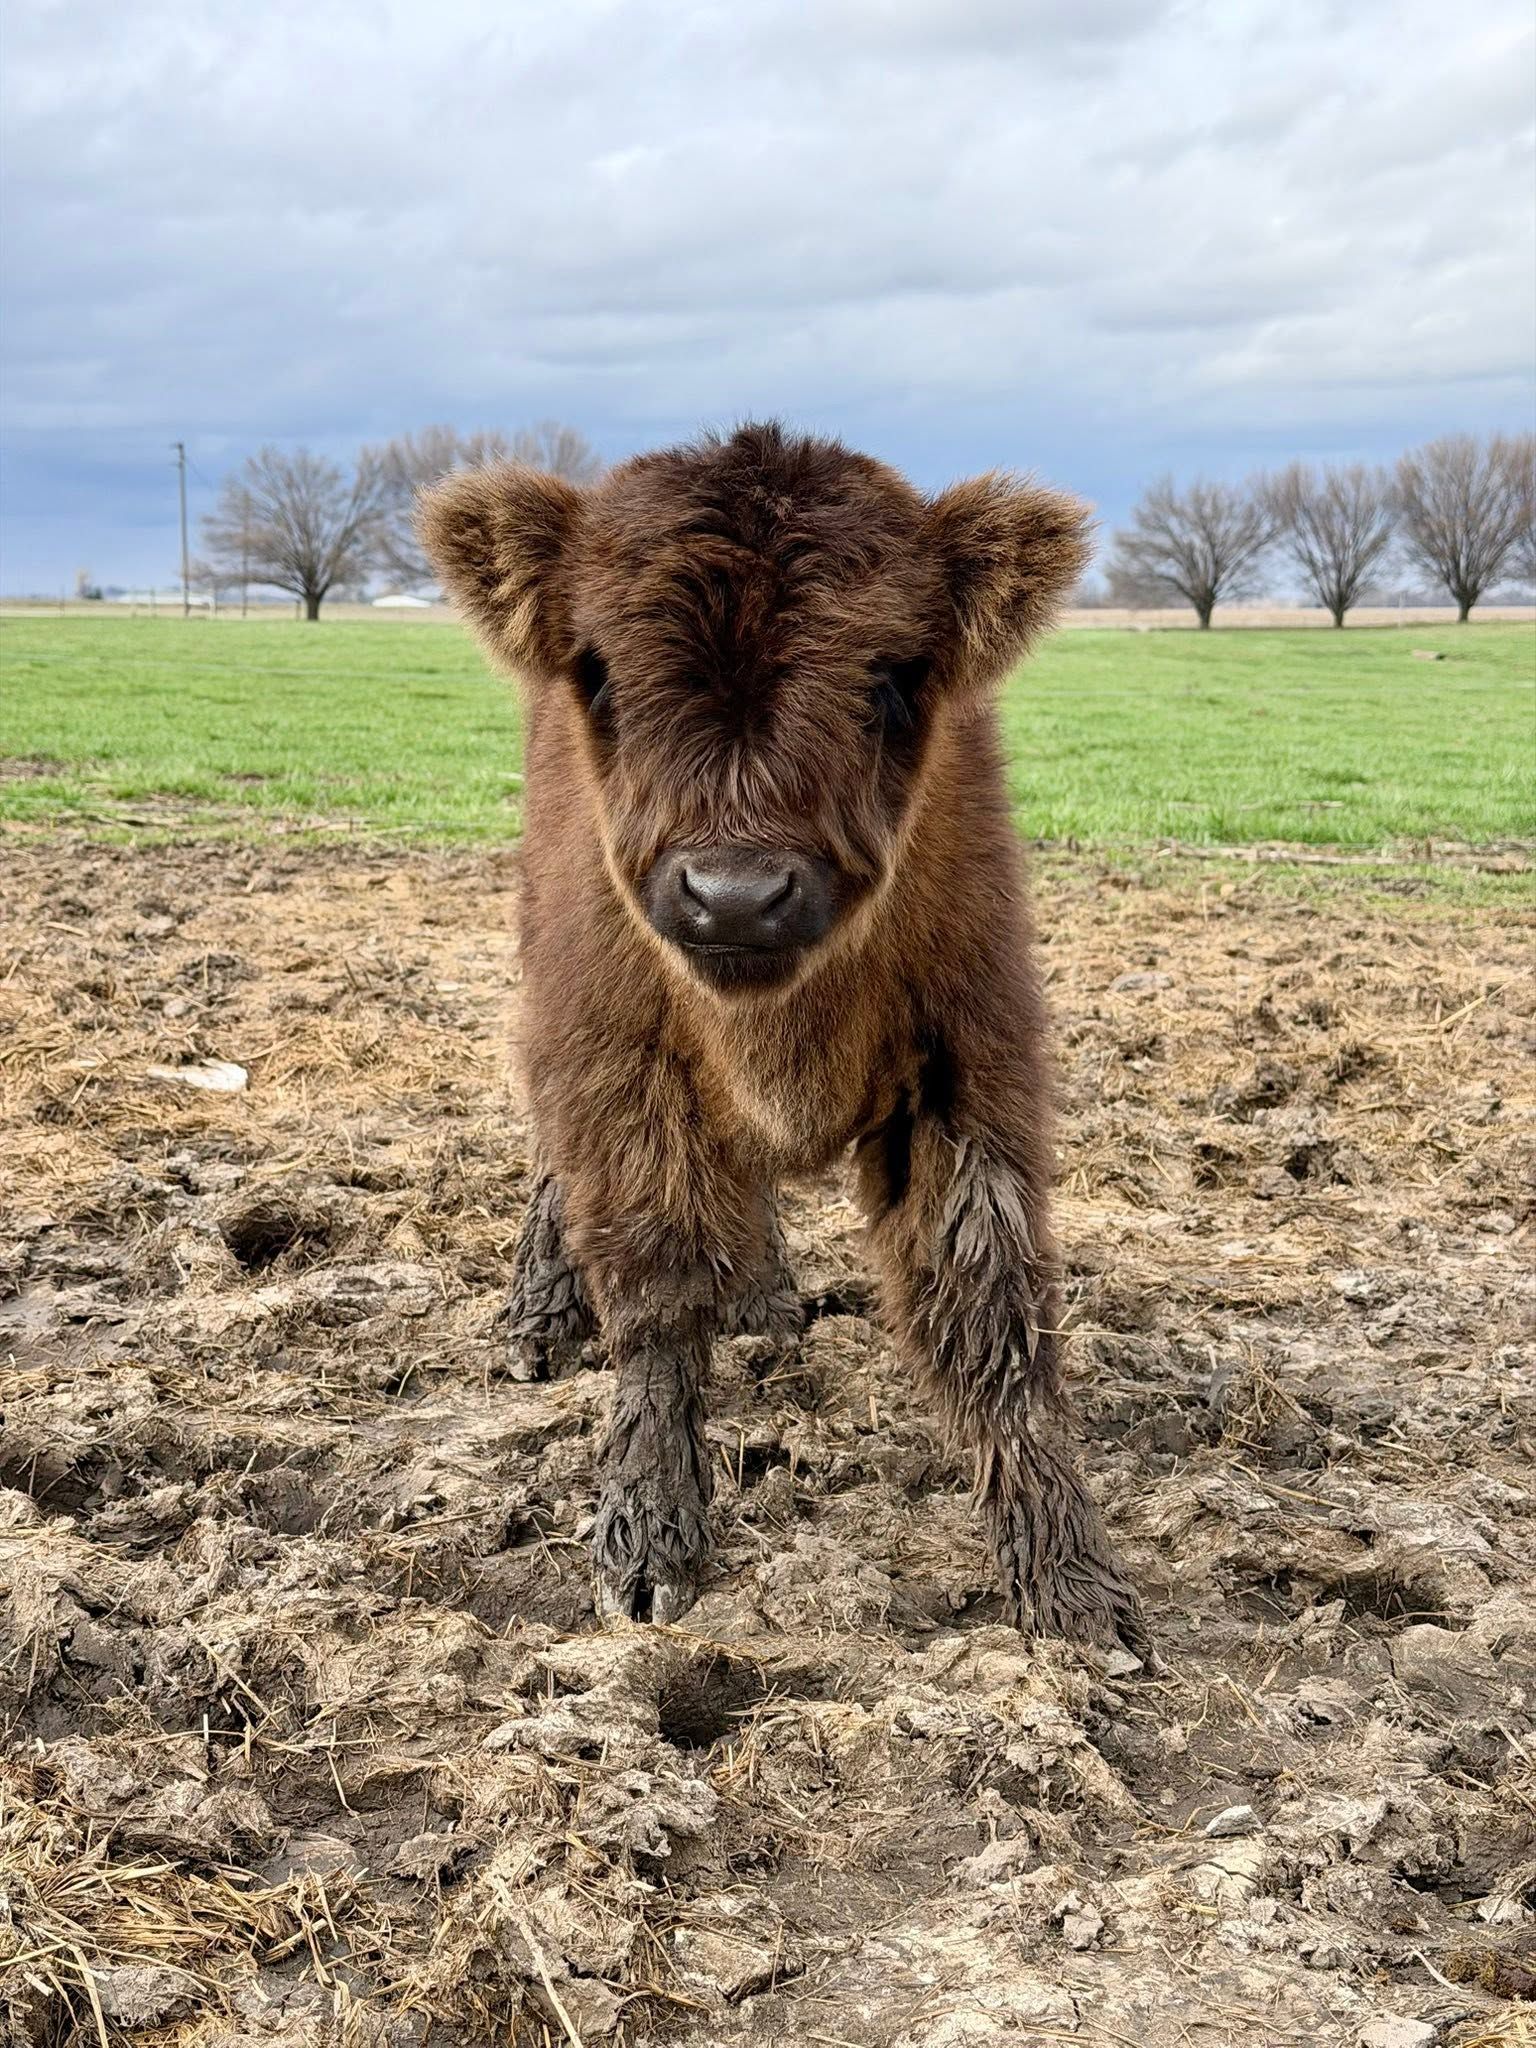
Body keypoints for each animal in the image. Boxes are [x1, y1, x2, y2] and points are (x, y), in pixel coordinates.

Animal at [419, 422, 1144, 1652]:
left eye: (892, 677)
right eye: (599, 668)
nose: (736, 895)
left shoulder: (972, 1066)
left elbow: (990, 1307)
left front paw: (1071, 1577)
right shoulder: (614, 1059)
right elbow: (656, 1295)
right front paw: (650, 1539)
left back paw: (762, 1300)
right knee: (562, 1163)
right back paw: (542, 1318)